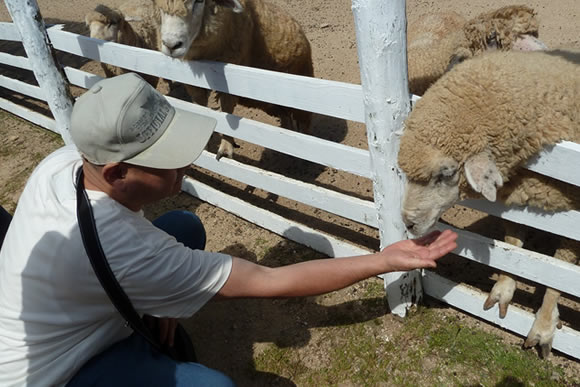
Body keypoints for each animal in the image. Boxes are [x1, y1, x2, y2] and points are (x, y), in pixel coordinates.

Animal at [154, 0, 314, 161]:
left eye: (199, 2)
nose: (171, 45)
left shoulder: (230, 81)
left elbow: (227, 113)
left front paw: (226, 148)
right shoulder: (193, 83)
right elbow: (201, 107)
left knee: (303, 122)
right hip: (270, 103)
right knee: (285, 115)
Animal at [398, 50, 580, 360]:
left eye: (445, 173)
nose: (407, 222)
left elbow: (559, 270)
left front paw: (544, 326)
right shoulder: (519, 193)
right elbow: (512, 246)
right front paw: (504, 288)